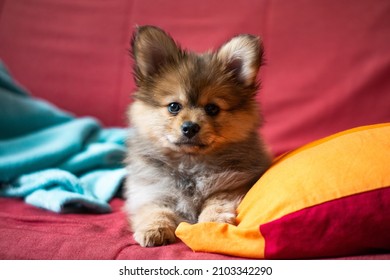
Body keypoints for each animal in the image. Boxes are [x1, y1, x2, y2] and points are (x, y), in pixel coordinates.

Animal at [125, 25, 272, 246]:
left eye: (212, 108)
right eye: (174, 107)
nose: (190, 127)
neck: (190, 164)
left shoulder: (232, 186)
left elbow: (216, 203)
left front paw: (210, 224)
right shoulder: (152, 191)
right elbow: (156, 210)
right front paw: (154, 229)